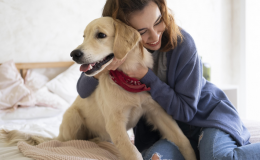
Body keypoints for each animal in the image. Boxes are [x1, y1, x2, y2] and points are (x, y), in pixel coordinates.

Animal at [0, 17, 195, 160]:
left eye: (101, 35)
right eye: (84, 36)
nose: (74, 54)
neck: (128, 79)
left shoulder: (157, 111)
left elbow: (183, 139)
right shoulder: (115, 123)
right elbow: (133, 152)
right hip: (73, 117)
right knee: (70, 141)